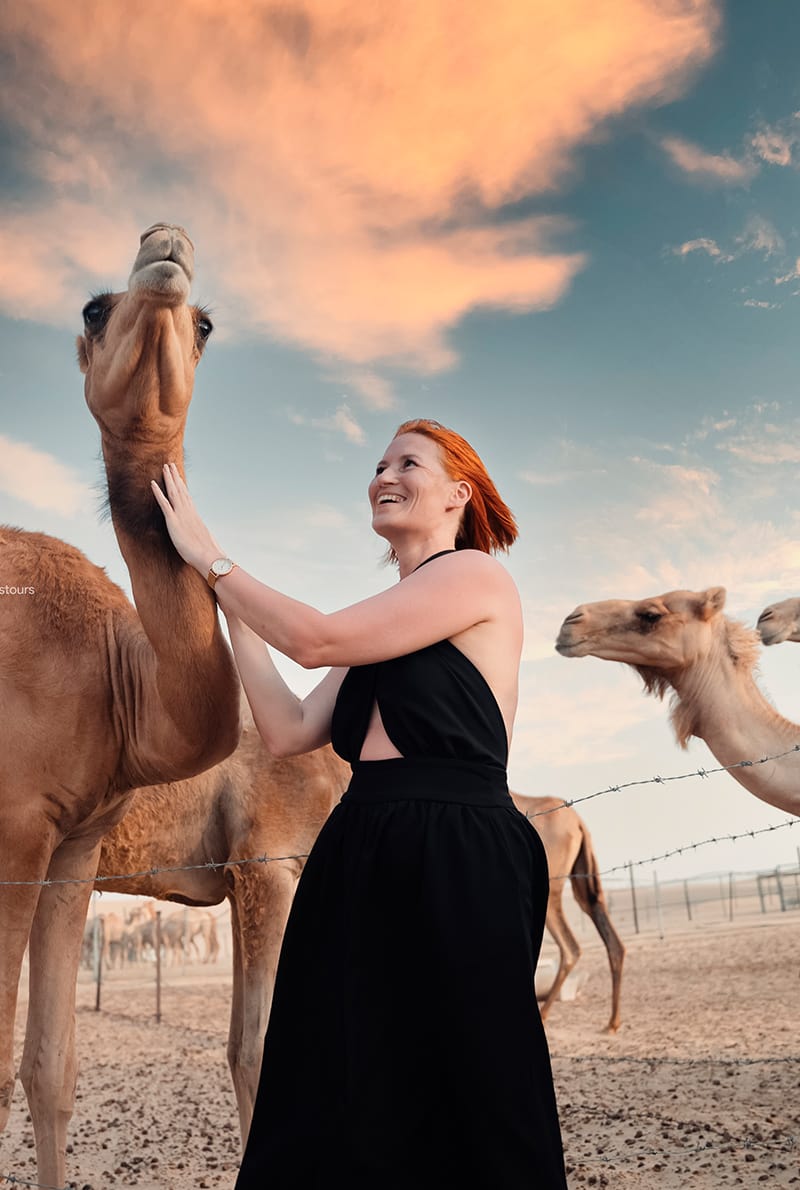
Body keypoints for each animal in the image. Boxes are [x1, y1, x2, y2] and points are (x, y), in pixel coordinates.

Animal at [511, 794, 623, 1037]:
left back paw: (543, 1016)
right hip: (583, 882)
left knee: (570, 947)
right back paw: (612, 1022)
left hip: (550, 887)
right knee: (612, 941)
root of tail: (579, 823)